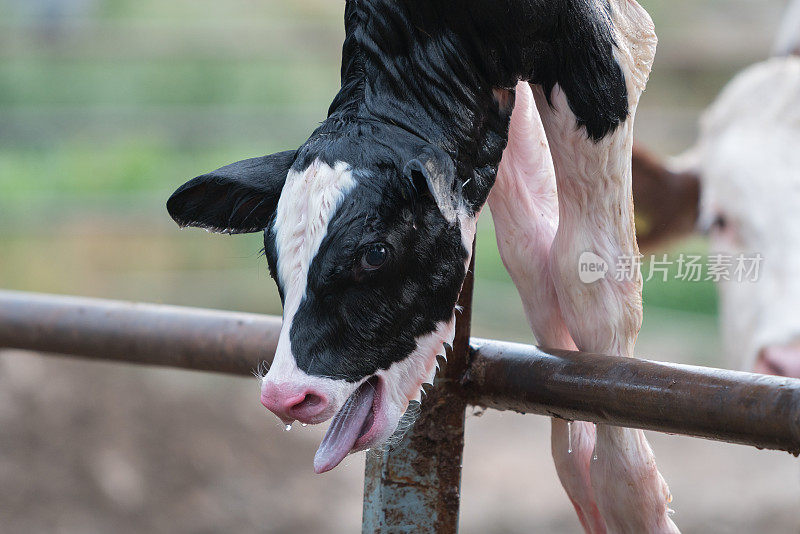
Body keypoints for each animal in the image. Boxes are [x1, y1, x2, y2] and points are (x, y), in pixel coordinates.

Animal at [167, 2, 676, 532]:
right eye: (271, 256)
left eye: (374, 253)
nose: (286, 396)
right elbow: (531, 248)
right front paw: (578, 462)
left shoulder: (607, 46)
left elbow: (589, 274)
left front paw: (630, 500)